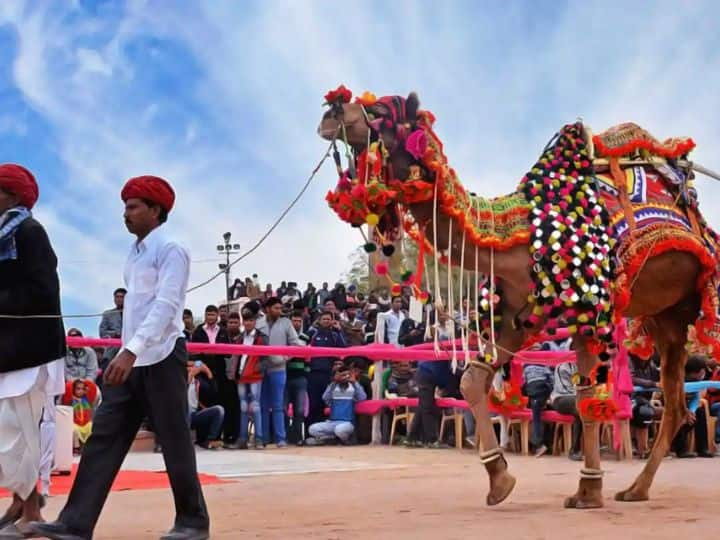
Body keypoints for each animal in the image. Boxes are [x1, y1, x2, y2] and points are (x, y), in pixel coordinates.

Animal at [320, 86, 720, 508]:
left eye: (381, 110)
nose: (331, 111)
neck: (517, 237)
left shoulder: (588, 307)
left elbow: (587, 397)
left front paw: (587, 491)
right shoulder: (516, 314)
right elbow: (472, 382)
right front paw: (500, 479)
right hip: (668, 315)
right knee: (676, 405)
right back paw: (636, 489)